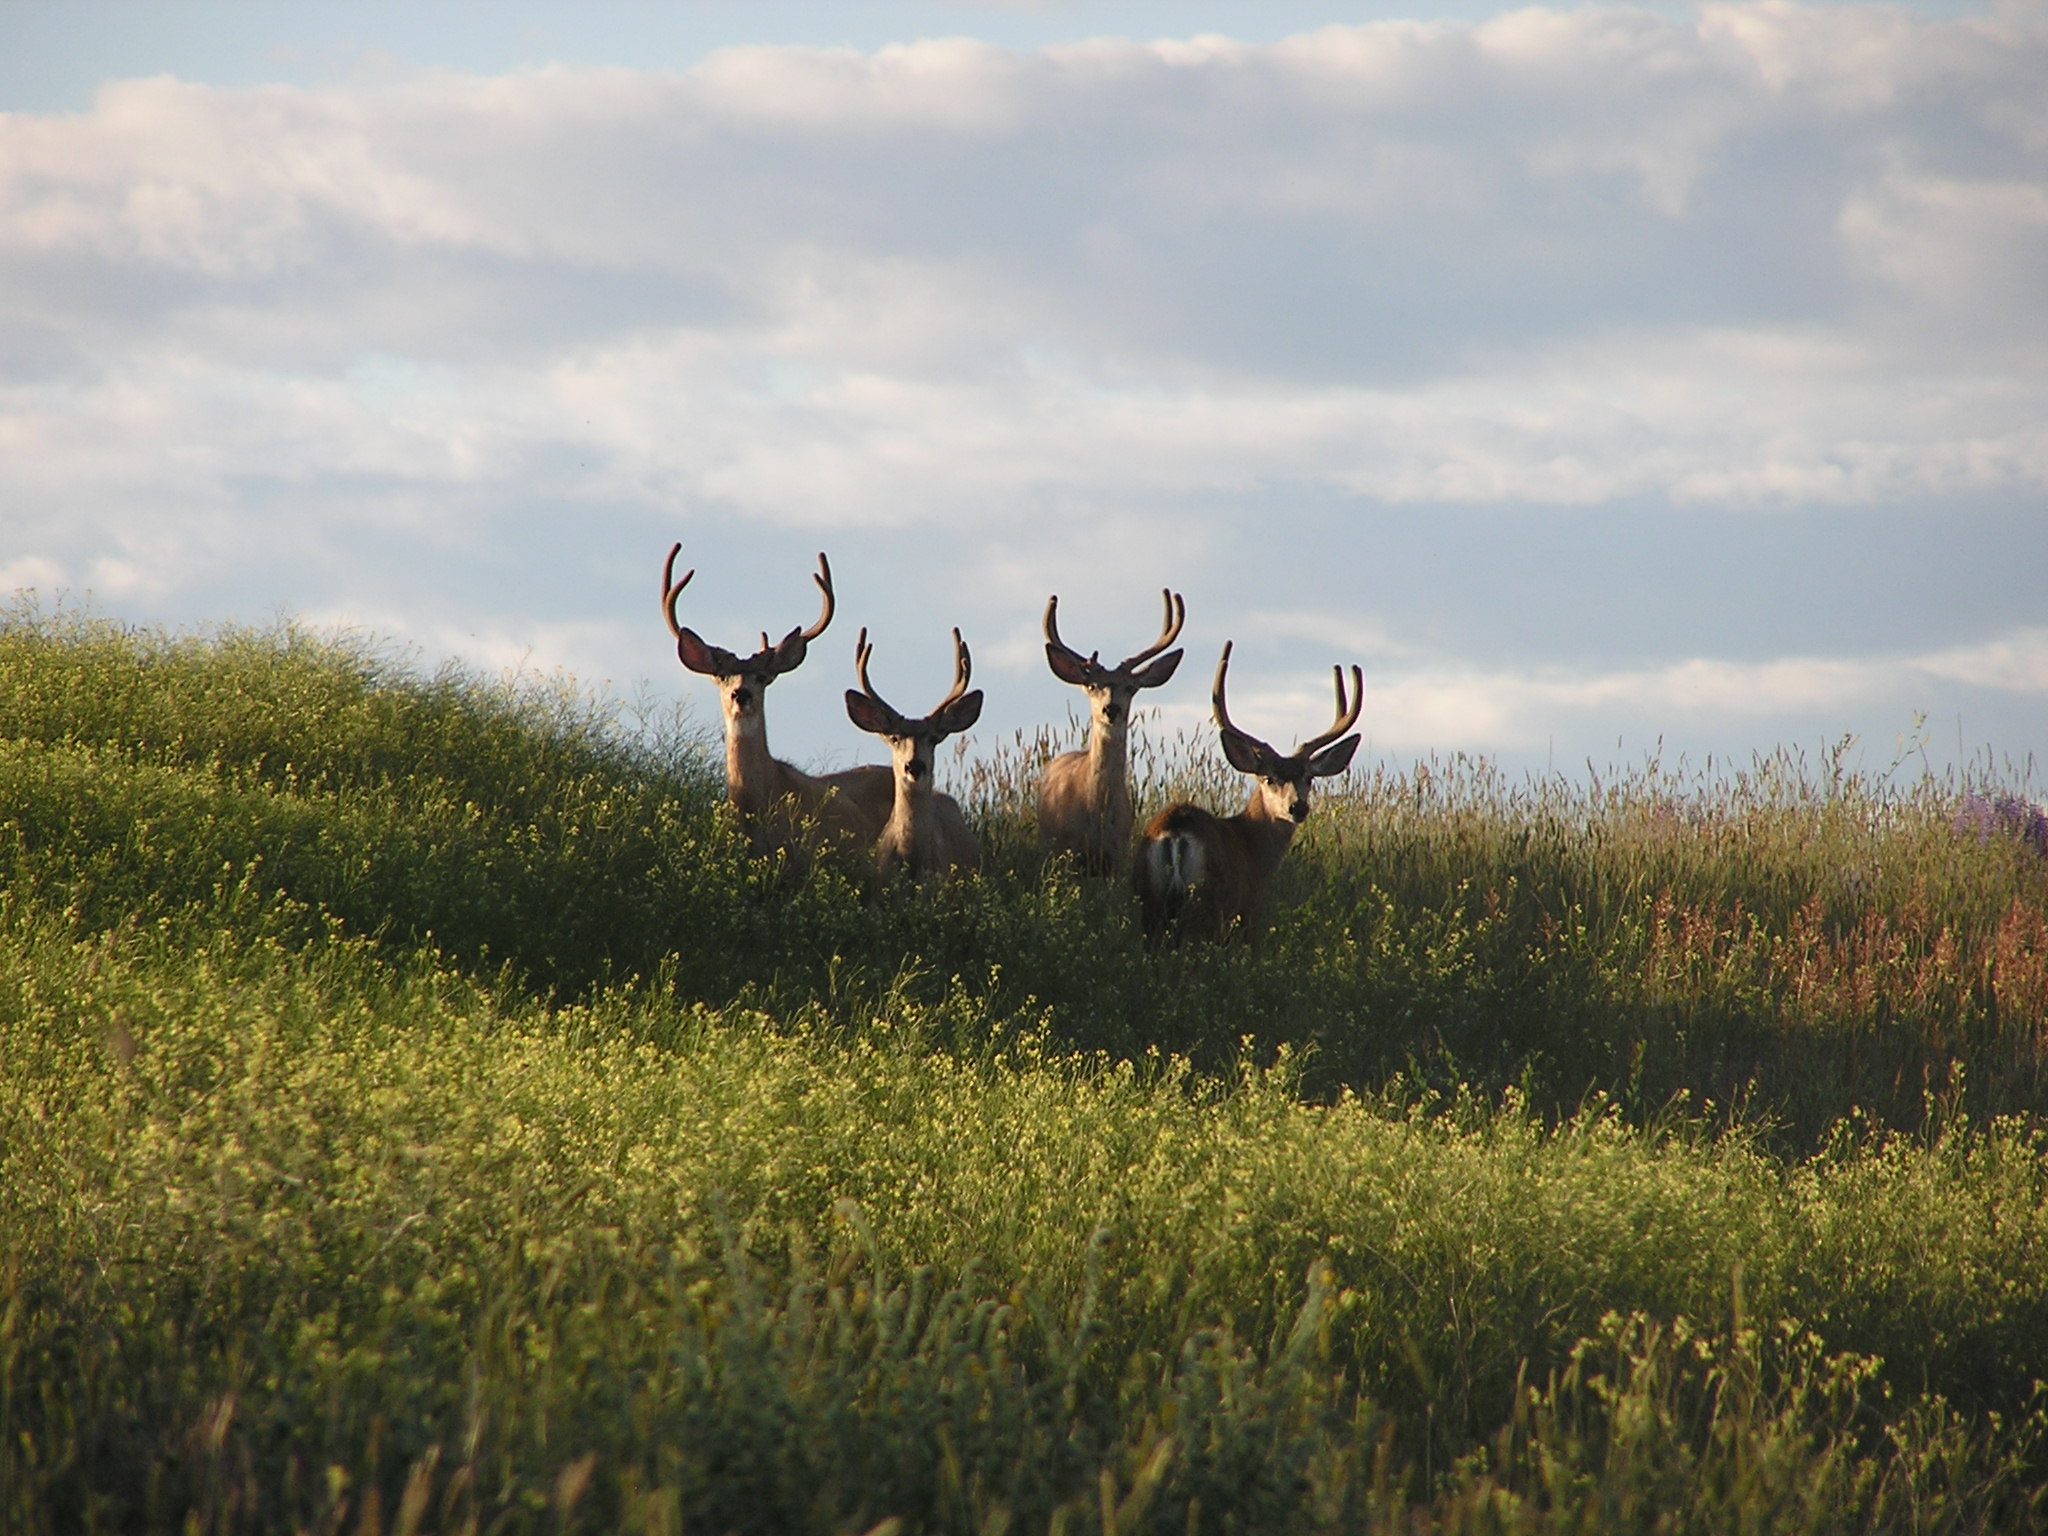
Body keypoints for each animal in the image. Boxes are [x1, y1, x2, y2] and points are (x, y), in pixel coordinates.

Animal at [1138, 638, 1359, 950]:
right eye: (1269, 778)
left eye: (1309, 778)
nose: (1297, 807)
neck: (1252, 846)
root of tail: (1175, 832)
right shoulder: (1249, 913)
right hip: (1205, 907)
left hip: (1148, 903)